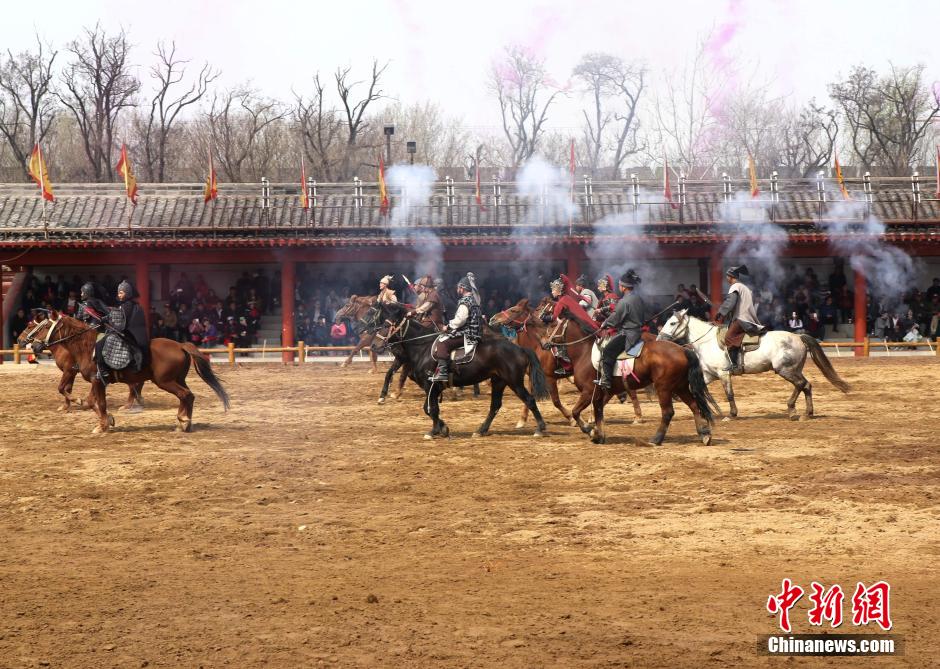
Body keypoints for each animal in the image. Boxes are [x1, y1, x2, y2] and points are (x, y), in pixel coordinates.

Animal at [28, 310, 230, 434]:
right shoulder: (96, 381)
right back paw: (183, 422)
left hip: (165, 381)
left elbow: (99, 403)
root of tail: (181, 345)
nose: (34, 346)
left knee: (185, 395)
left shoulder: (97, 380)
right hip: (178, 379)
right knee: (187, 396)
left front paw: (102, 426)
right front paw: (108, 420)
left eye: (44, 327)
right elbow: (92, 402)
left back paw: (184, 421)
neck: (86, 346)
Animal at [374, 302, 548, 438]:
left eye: (386, 325)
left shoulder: (430, 386)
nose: (374, 345)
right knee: (495, 406)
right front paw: (442, 428)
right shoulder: (433, 388)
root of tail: (520, 349)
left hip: (514, 382)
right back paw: (481, 430)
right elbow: (430, 409)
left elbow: (431, 409)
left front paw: (435, 431)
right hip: (499, 381)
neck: (422, 348)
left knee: (529, 400)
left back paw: (540, 428)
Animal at [488, 298, 644, 428]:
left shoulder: (550, 378)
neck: (536, 346)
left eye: (513, 310)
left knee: (628, 390)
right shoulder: (534, 377)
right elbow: (529, 398)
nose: (493, 318)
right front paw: (522, 421)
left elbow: (556, 401)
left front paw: (571, 419)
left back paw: (636, 416)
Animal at [536, 300, 712, 446]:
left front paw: (590, 430)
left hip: (664, 388)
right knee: (694, 405)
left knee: (668, 412)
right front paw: (599, 435)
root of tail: (682, 349)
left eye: (553, 325)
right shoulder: (598, 395)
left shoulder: (588, 392)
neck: (584, 352)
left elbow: (575, 412)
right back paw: (704, 434)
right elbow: (598, 414)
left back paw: (656, 439)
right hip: (680, 386)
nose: (543, 343)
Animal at [652, 308, 852, 418]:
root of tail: (799, 337)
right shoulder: (709, 375)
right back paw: (806, 412)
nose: (659, 339)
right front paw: (715, 411)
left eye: (672, 323)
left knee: (802, 384)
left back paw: (793, 410)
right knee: (806, 386)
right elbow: (698, 389)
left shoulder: (723, 374)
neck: (706, 341)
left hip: (785, 370)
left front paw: (731, 414)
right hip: (793, 369)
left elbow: (729, 394)